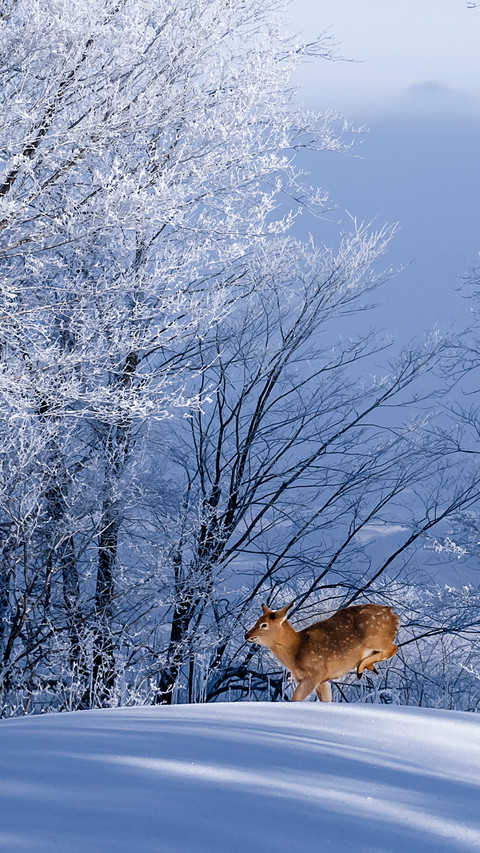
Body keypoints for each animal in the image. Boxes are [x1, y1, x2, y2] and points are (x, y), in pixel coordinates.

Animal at [245, 601, 399, 701]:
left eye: (264, 625)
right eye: (258, 620)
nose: (247, 635)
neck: (296, 651)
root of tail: (394, 616)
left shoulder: (316, 673)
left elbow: (295, 699)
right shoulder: (323, 680)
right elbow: (327, 700)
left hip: (374, 638)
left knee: (393, 648)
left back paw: (361, 668)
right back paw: (368, 667)